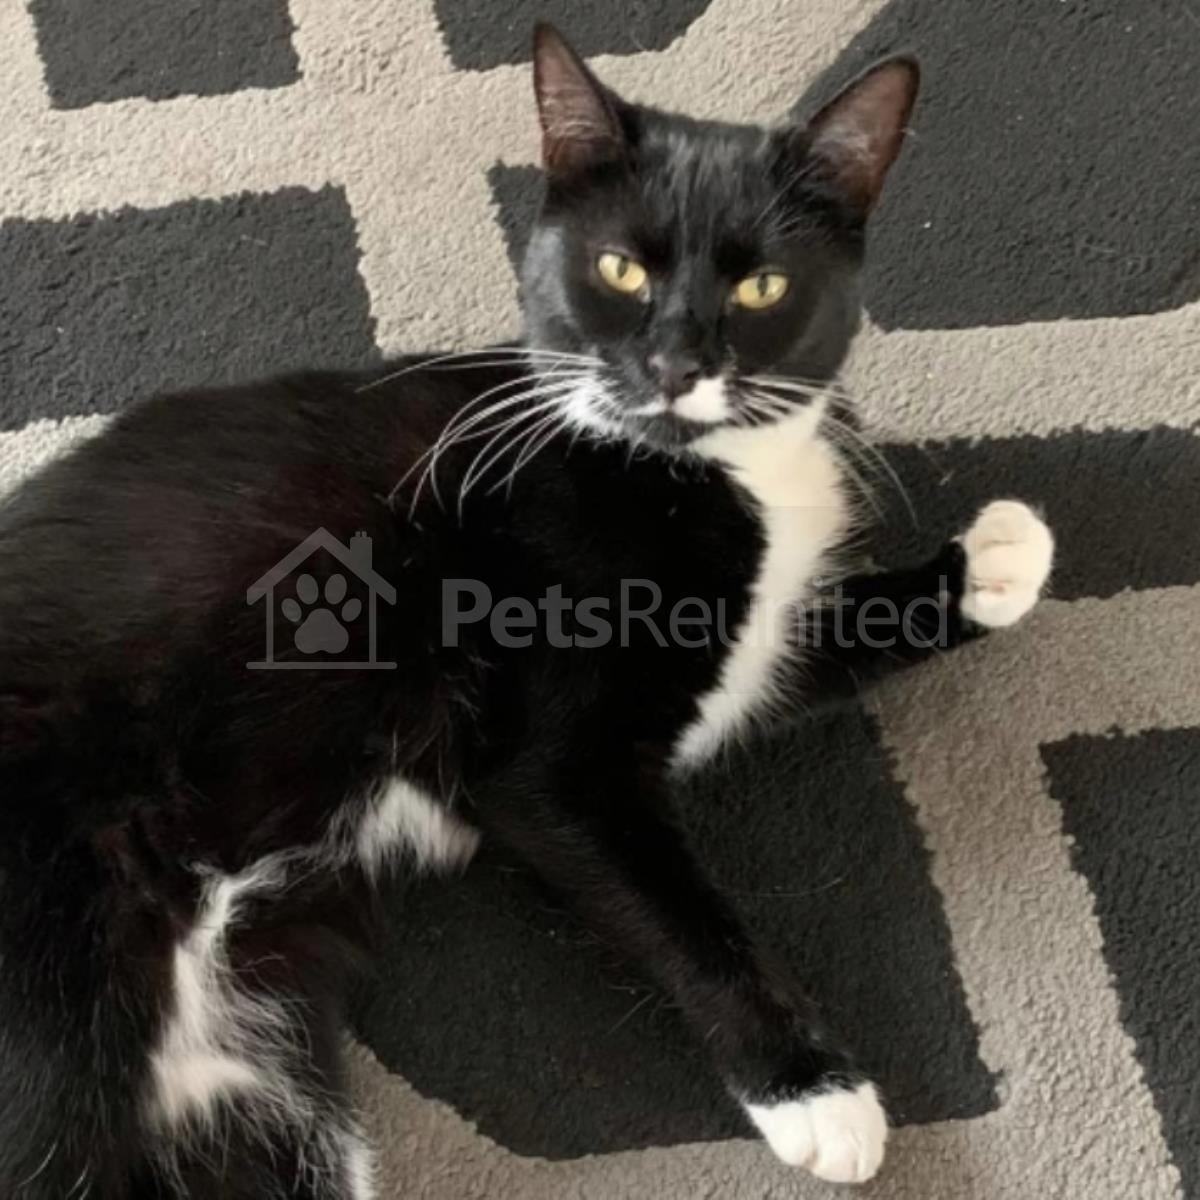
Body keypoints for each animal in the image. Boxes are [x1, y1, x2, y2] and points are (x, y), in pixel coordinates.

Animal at [0, 22, 1053, 1197]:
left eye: (764, 287)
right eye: (619, 268)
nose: (675, 364)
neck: (697, 471)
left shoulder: (738, 662)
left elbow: (811, 641)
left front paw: (994, 558)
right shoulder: (549, 767)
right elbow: (677, 910)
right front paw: (812, 1088)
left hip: (258, 1098)